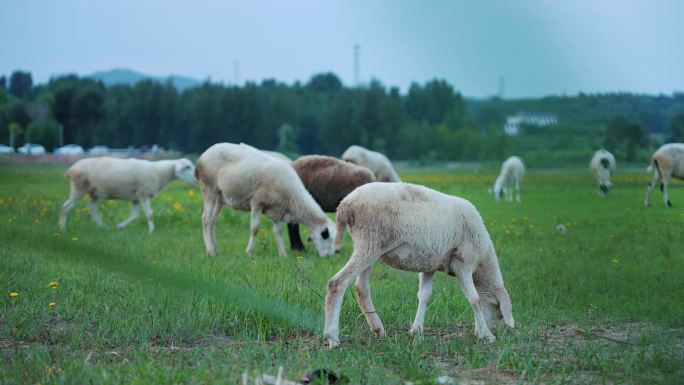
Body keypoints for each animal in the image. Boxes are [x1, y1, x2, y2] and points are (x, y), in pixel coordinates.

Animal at [58, 155, 195, 231]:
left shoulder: (136, 198)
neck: (160, 172)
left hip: (94, 192)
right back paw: (63, 229)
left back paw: (102, 227)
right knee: (65, 207)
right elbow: (150, 214)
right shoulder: (143, 193)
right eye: (187, 167)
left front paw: (120, 226)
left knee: (92, 208)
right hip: (79, 188)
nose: (196, 178)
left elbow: (135, 216)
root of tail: (70, 170)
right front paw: (152, 230)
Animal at [194, 142, 336, 256]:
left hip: (220, 196)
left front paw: (283, 254)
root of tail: (203, 155)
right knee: (205, 219)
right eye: (325, 236)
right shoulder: (257, 202)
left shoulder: (276, 208)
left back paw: (214, 248)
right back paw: (211, 251)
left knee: (212, 221)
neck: (292, 196)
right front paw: (249, 252)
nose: (329, 257)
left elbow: (278, 231)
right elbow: (255, 228)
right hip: (209, 188)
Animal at [324, 182, 512, 346]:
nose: (477, 331)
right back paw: (333, 338)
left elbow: (425, 296)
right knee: (337, 283)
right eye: (497, 308)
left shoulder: (429, 265)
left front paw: (417, 332)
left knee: (361, 287)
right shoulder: (463, 262)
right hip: (370, 241)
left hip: (369, 246)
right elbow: (475, 299)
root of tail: (345, 206)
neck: (482, 260)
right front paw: (487, 335)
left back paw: (378, 329)